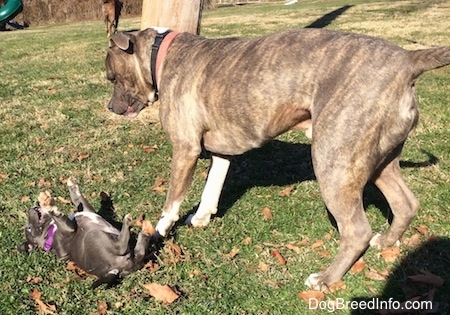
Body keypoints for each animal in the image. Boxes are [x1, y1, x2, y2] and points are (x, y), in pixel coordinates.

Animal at [20, 178, 151, 288]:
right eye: (29, 228)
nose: (31, 208)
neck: (50, 233)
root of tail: (116, 270)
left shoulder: (86, 209)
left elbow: (78, 200)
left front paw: (71, 184)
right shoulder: (69, 229)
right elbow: (61, 216)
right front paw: (51, 207)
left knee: (139, 253)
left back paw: (145, 232)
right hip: (95, 236)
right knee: (121, 246)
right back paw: (129, 223)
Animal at [104, 28, 450, 290]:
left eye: (112, 78)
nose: (109, 107)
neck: (161, 55)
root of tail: (407, 59)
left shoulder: (185, 149)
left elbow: (172, 202)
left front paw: (156, 233)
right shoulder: (221, 152)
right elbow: (212, 187)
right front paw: (201, 217)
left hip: (333, 162)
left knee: (356, 231)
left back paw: (325, 279)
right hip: (380, 160)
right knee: (405, 204)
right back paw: (387, 242)